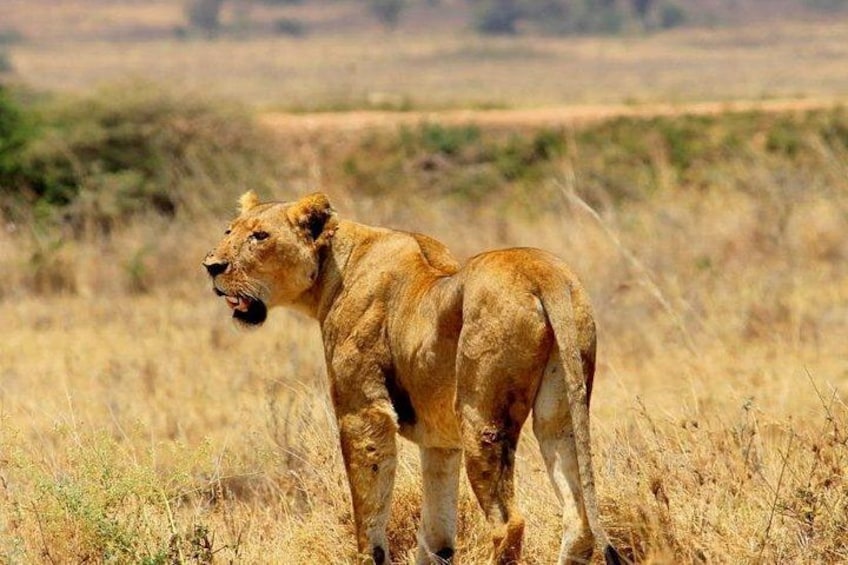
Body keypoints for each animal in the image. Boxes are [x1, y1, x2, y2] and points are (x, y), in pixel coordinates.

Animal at [203, 192, 623, 565]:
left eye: (260, 236)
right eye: (228, 230)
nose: (211, 265)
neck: (332, 269)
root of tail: (542, 270)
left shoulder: (363, 414)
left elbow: (368, 520)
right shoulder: (439, 442)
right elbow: (436, 536)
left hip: (481, 419)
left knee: (509, 524)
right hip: (561, 412)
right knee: (578, 520)